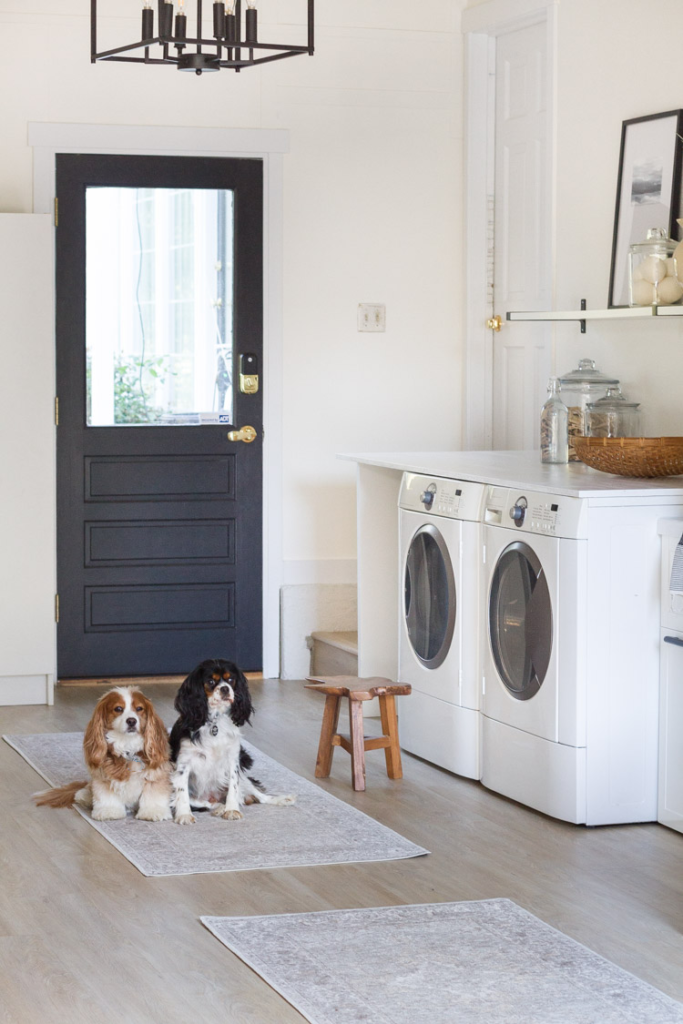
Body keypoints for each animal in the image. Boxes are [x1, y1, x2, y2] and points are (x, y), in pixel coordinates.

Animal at [34, 688, 174, 823]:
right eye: (118, 709)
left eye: (139, 709)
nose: (131, 721)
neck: (127, 745)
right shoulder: (104, 776)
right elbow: (107, 797)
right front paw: (109, 812)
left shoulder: (155, 775)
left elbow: (153, 795)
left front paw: (153, 813)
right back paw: (84, 796)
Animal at [169, 663, 294, 823]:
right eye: (211, 681)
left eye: (230, 680)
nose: (225, 688)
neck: (215, 721)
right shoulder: (184, 763)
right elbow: (182, 791)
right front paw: (184, 815)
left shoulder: (233, 760)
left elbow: (233, 788)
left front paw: (232, 810)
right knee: (207, 804)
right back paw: (219, 808)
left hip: (244, 778)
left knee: (259, 796)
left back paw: (282, 799)